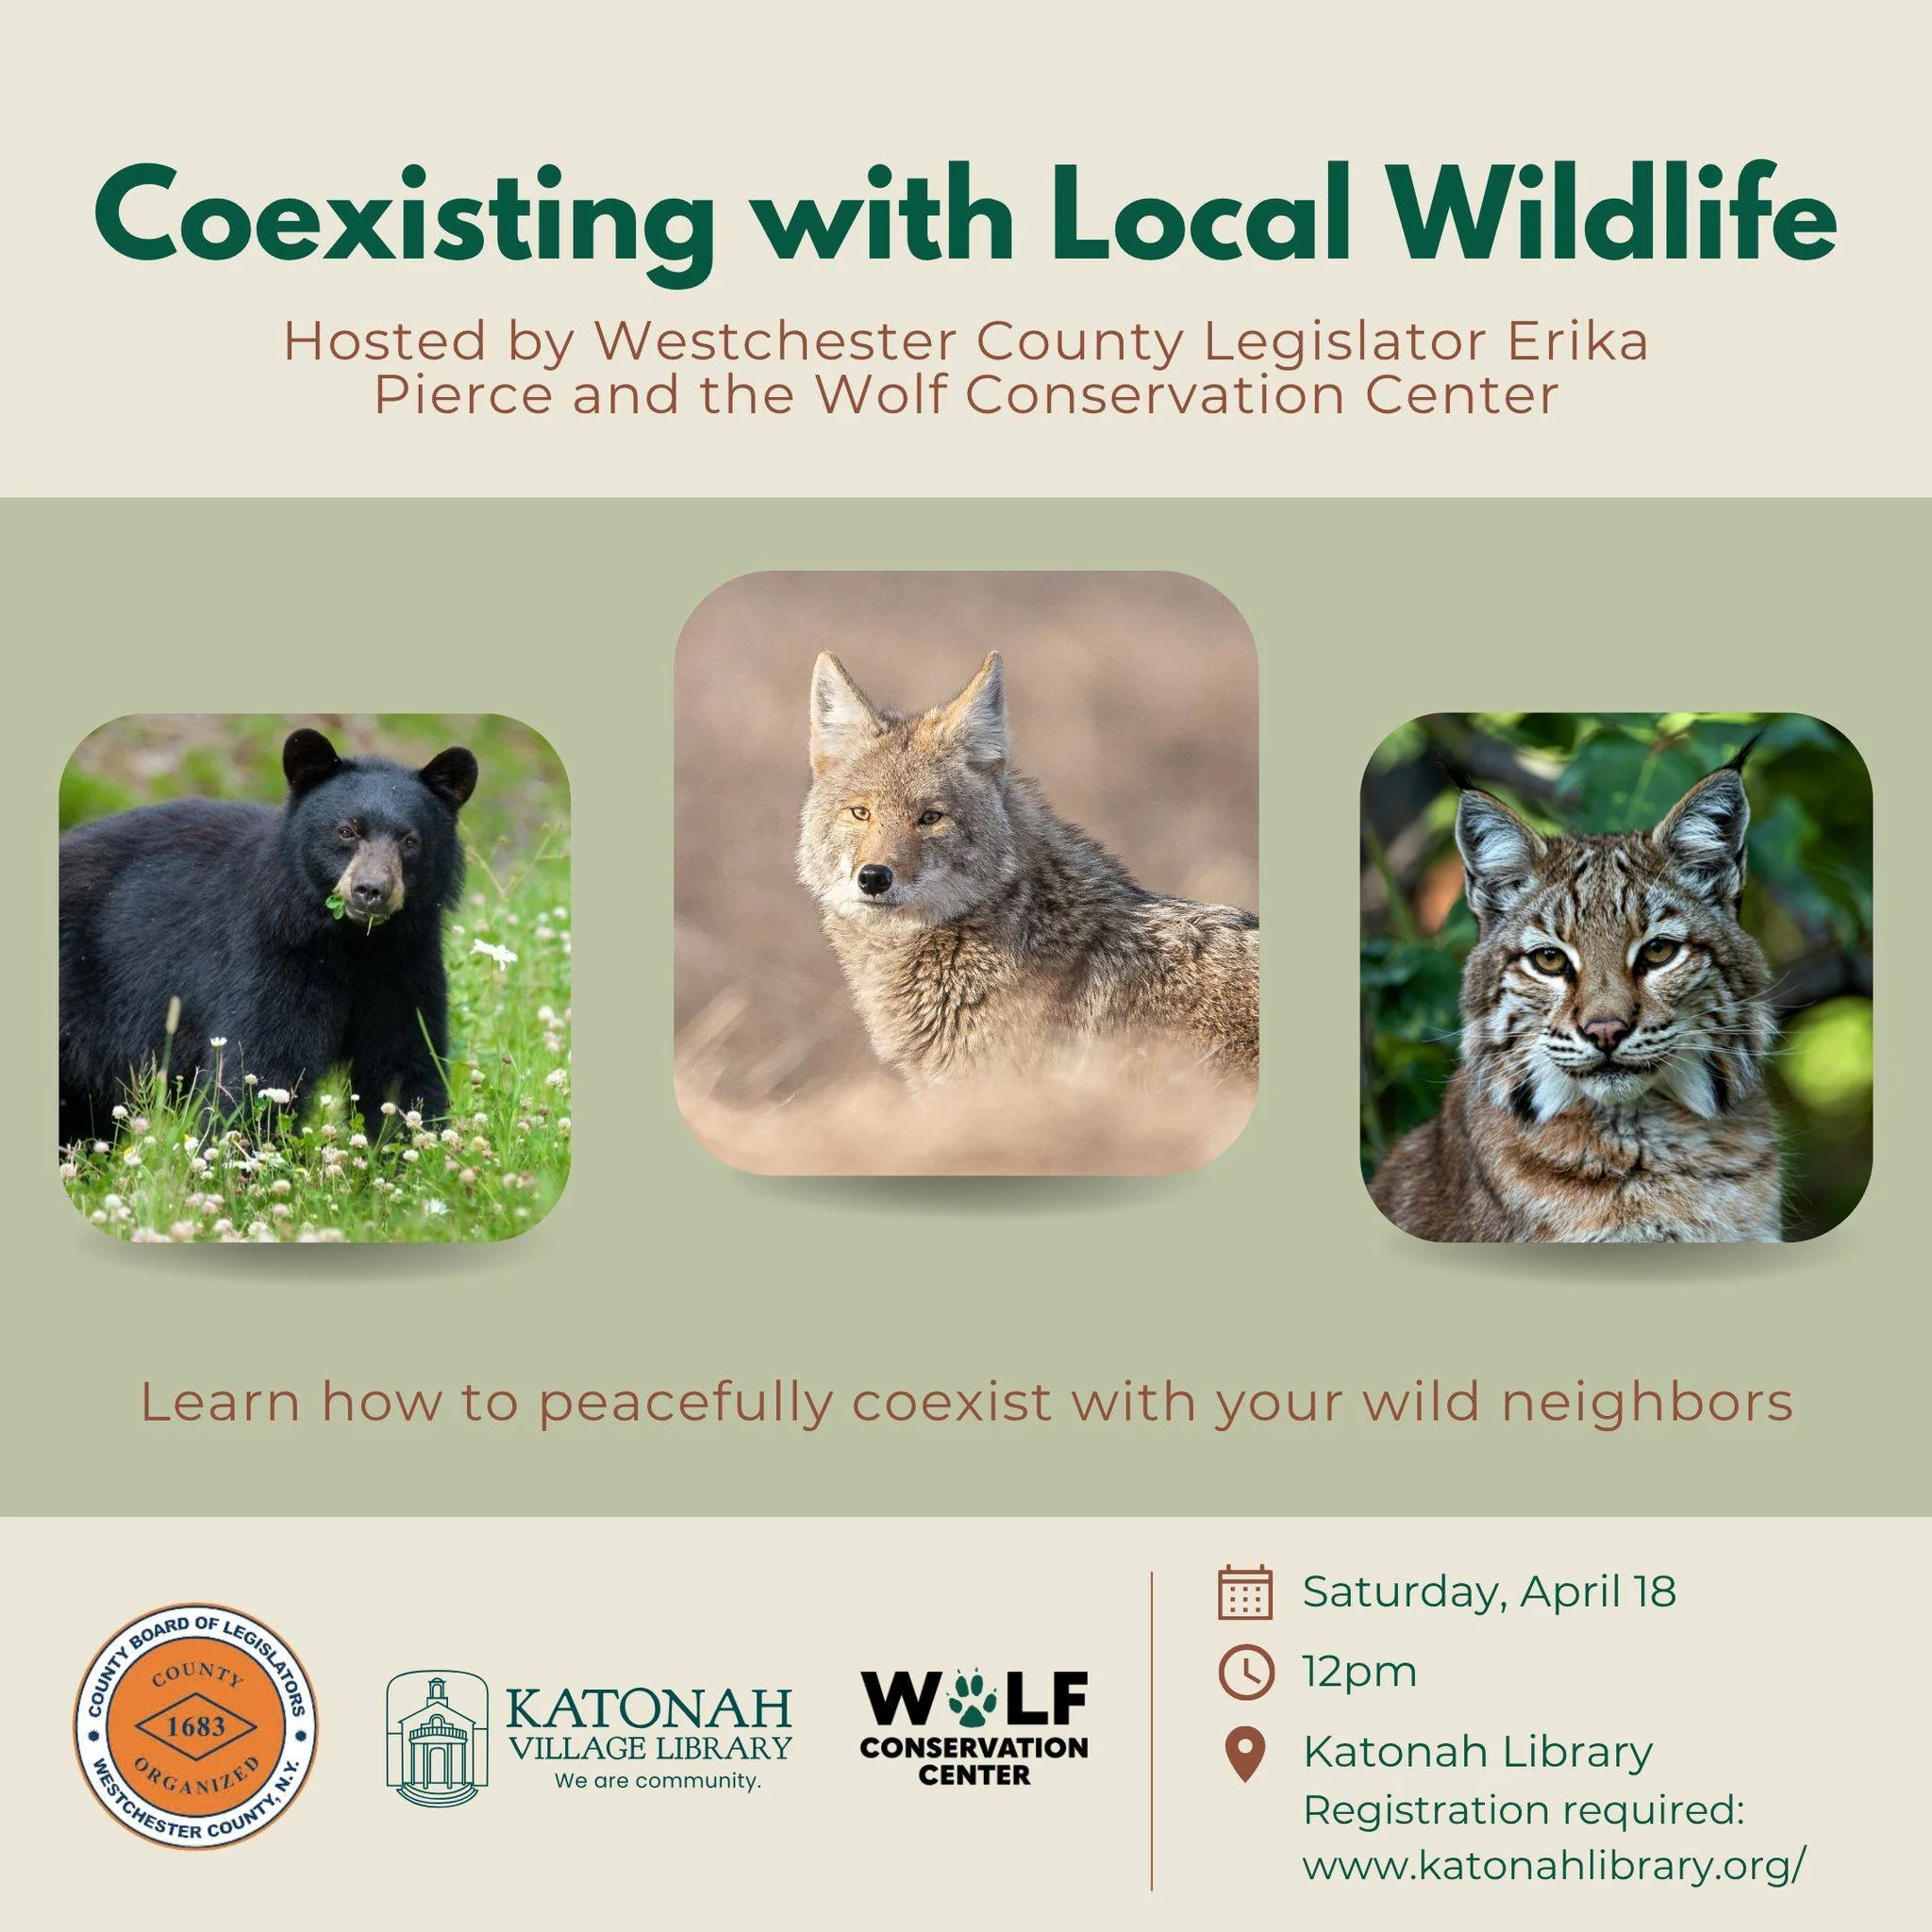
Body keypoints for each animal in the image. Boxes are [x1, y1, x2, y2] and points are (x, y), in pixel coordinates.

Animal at [59, 727, 478, 1147]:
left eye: (410, 841)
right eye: (346, 831)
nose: (371, 890)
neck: (353, 942)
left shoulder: (406, 962)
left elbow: (404, 1061)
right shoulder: (271, 952)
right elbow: (263, 1063)